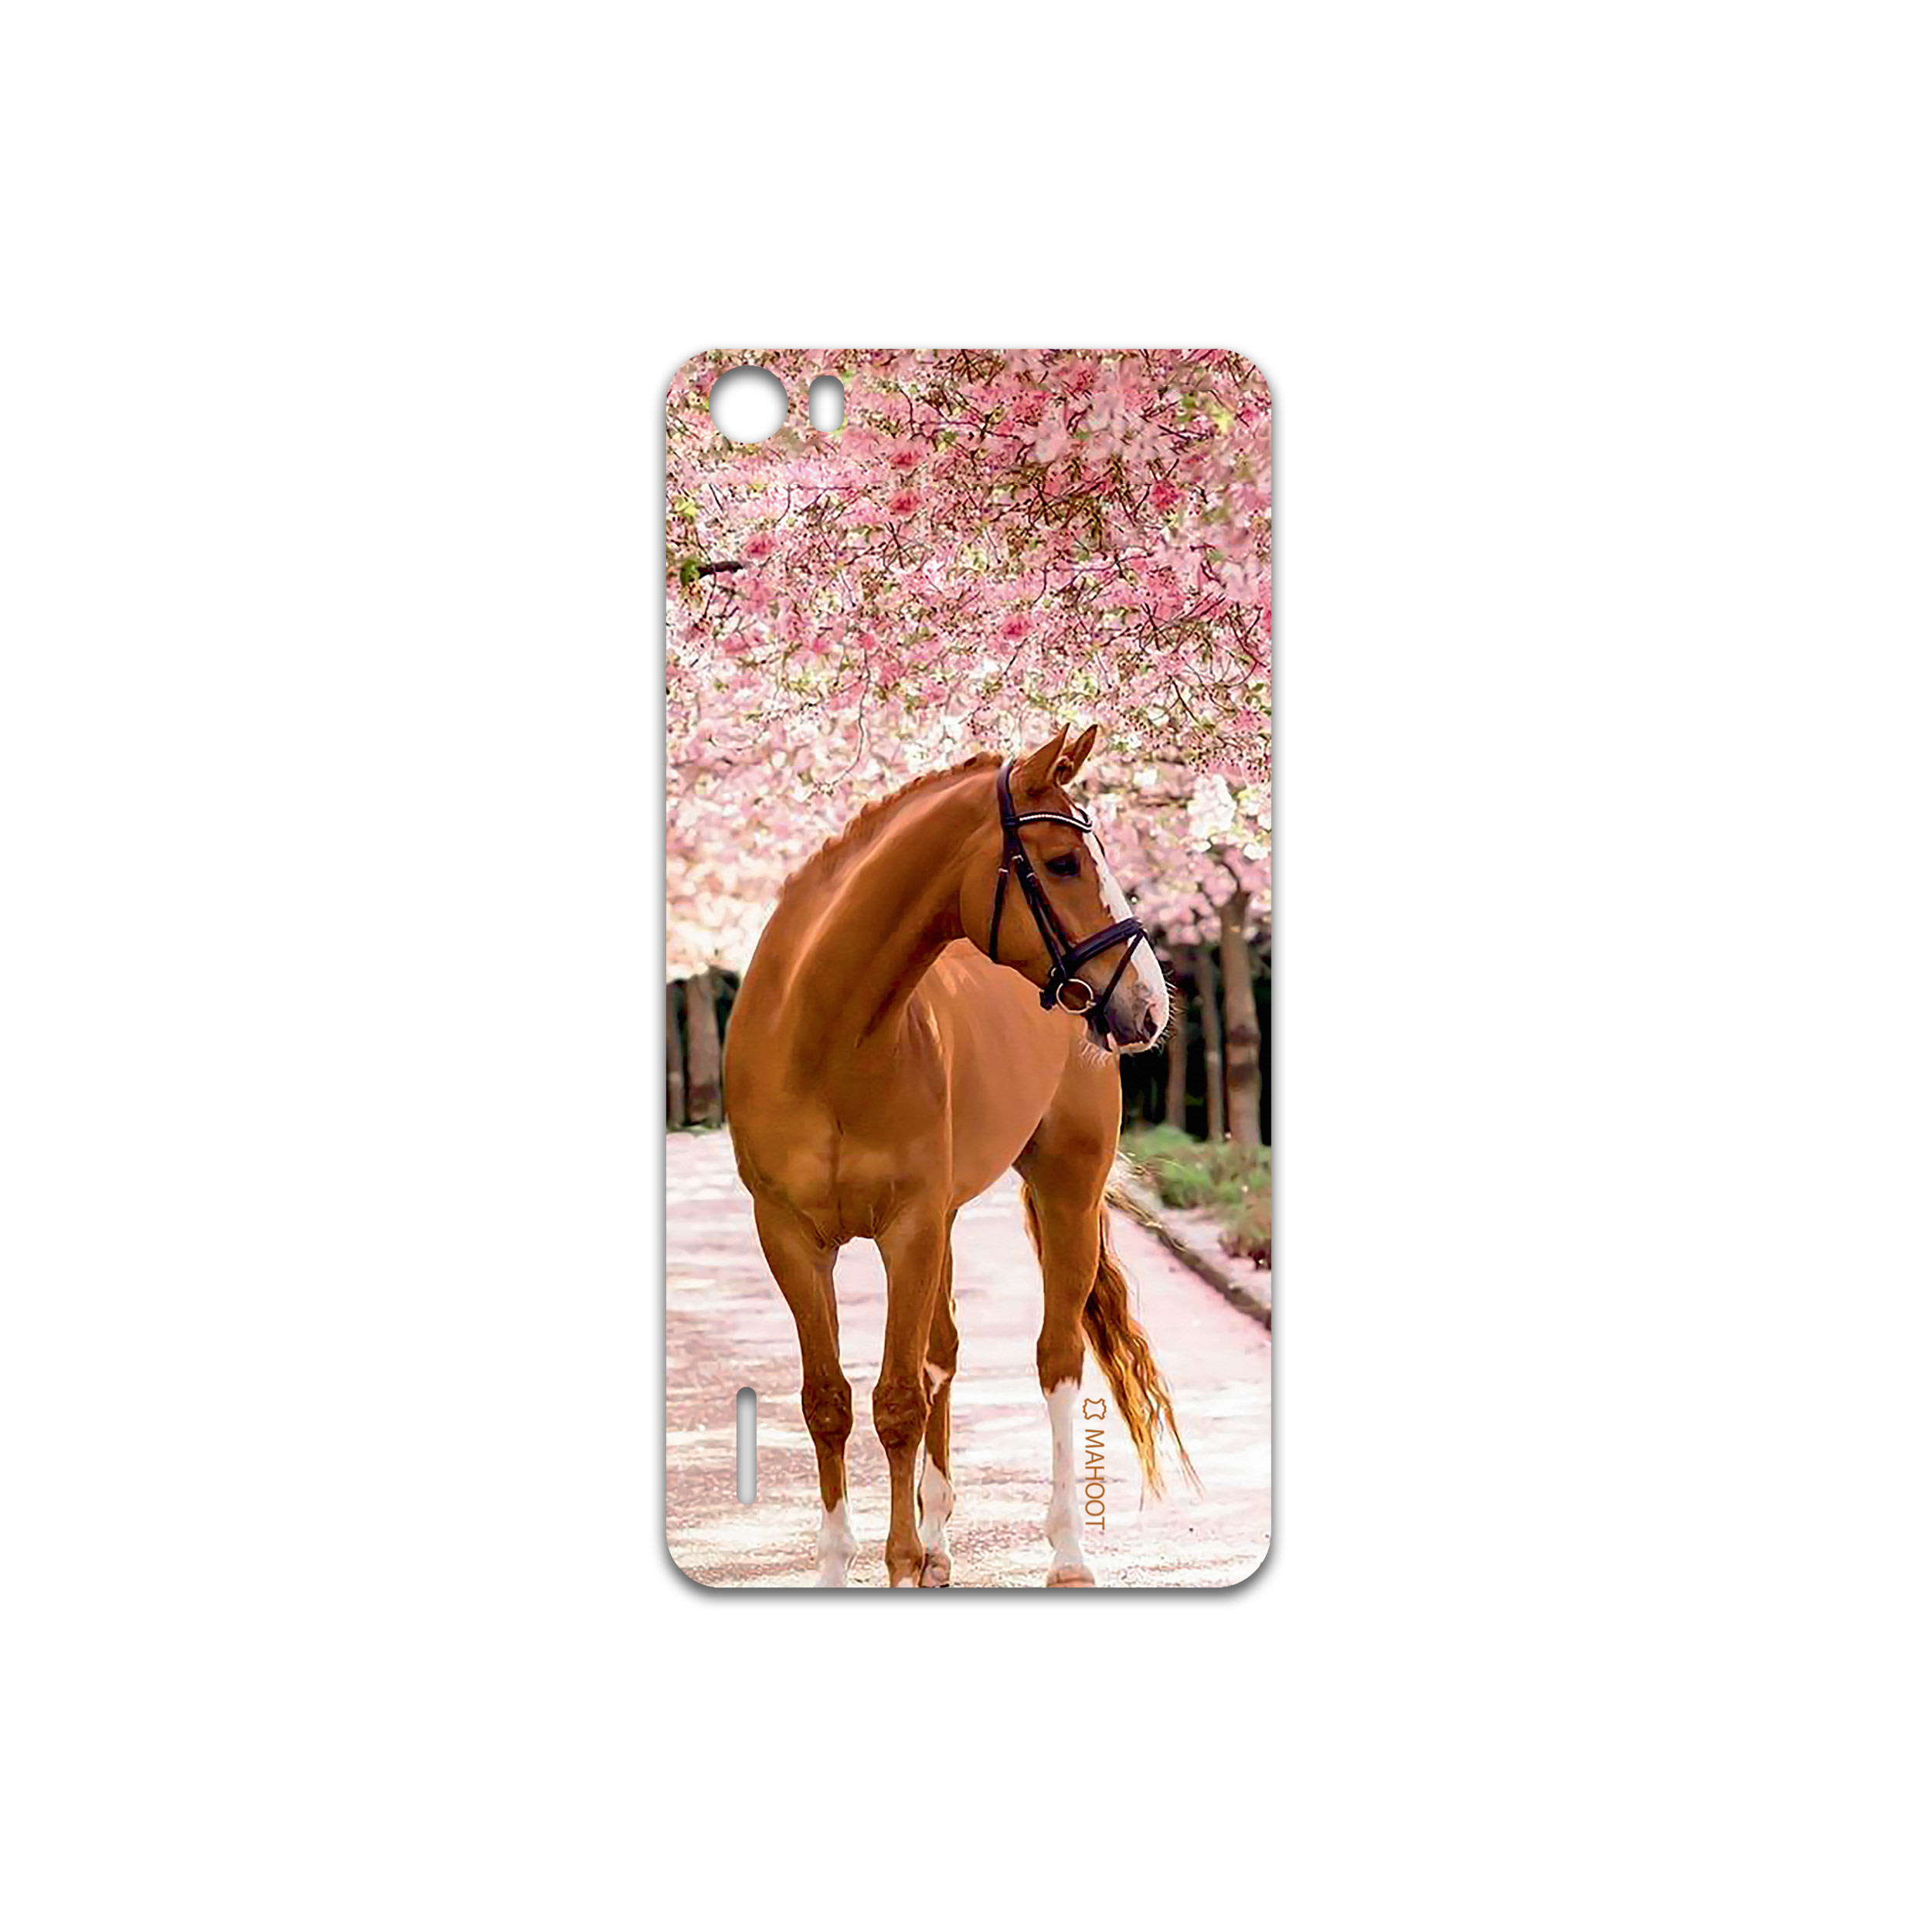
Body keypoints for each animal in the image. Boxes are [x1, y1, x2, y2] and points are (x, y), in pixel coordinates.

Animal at [723, 723, 1193, 1587]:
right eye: (1063, 861)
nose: (1148, 1003)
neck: (824, 1041)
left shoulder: (907, 1227)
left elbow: (898, 1399)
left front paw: (901, 1559)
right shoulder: (789, 1236)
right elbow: (829, 1400)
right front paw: (854, 1560)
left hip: (1065, 1191)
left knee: (1056, 1357)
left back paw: (1066, 1552)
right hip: (943, 1221)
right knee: (942, 1353)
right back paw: (942, 1540)